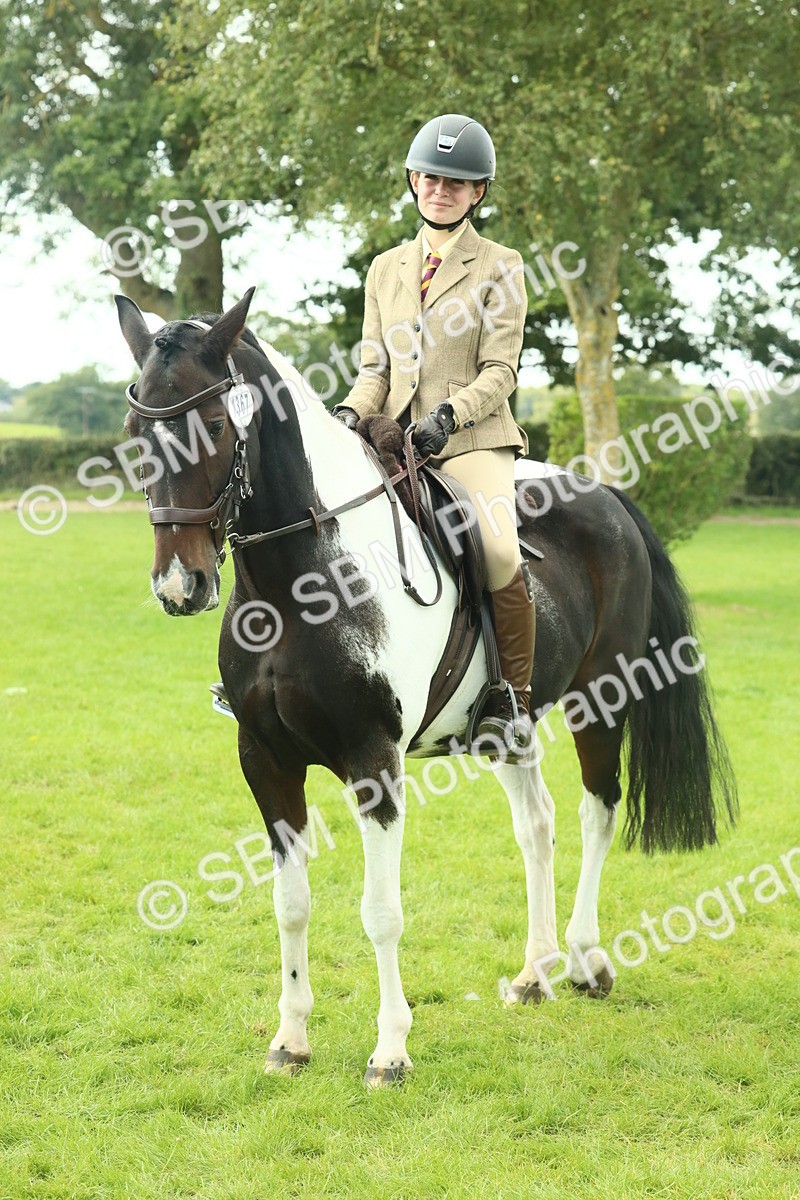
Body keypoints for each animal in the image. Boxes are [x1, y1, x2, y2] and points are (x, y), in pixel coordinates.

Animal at [116, 287, 737, 1086]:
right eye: (137, 430)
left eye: (219, 426)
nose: (180, 585)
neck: (299, 587)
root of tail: (604, 495)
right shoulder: (265, 760)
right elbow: (291, 904)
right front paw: (290, 1041)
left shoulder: (373, 761)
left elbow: (381, 911)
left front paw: (390, 1052)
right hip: (510, 726)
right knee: (537, 824)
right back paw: (533, 974)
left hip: (601, 700)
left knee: (598, 811)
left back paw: (585, 960)